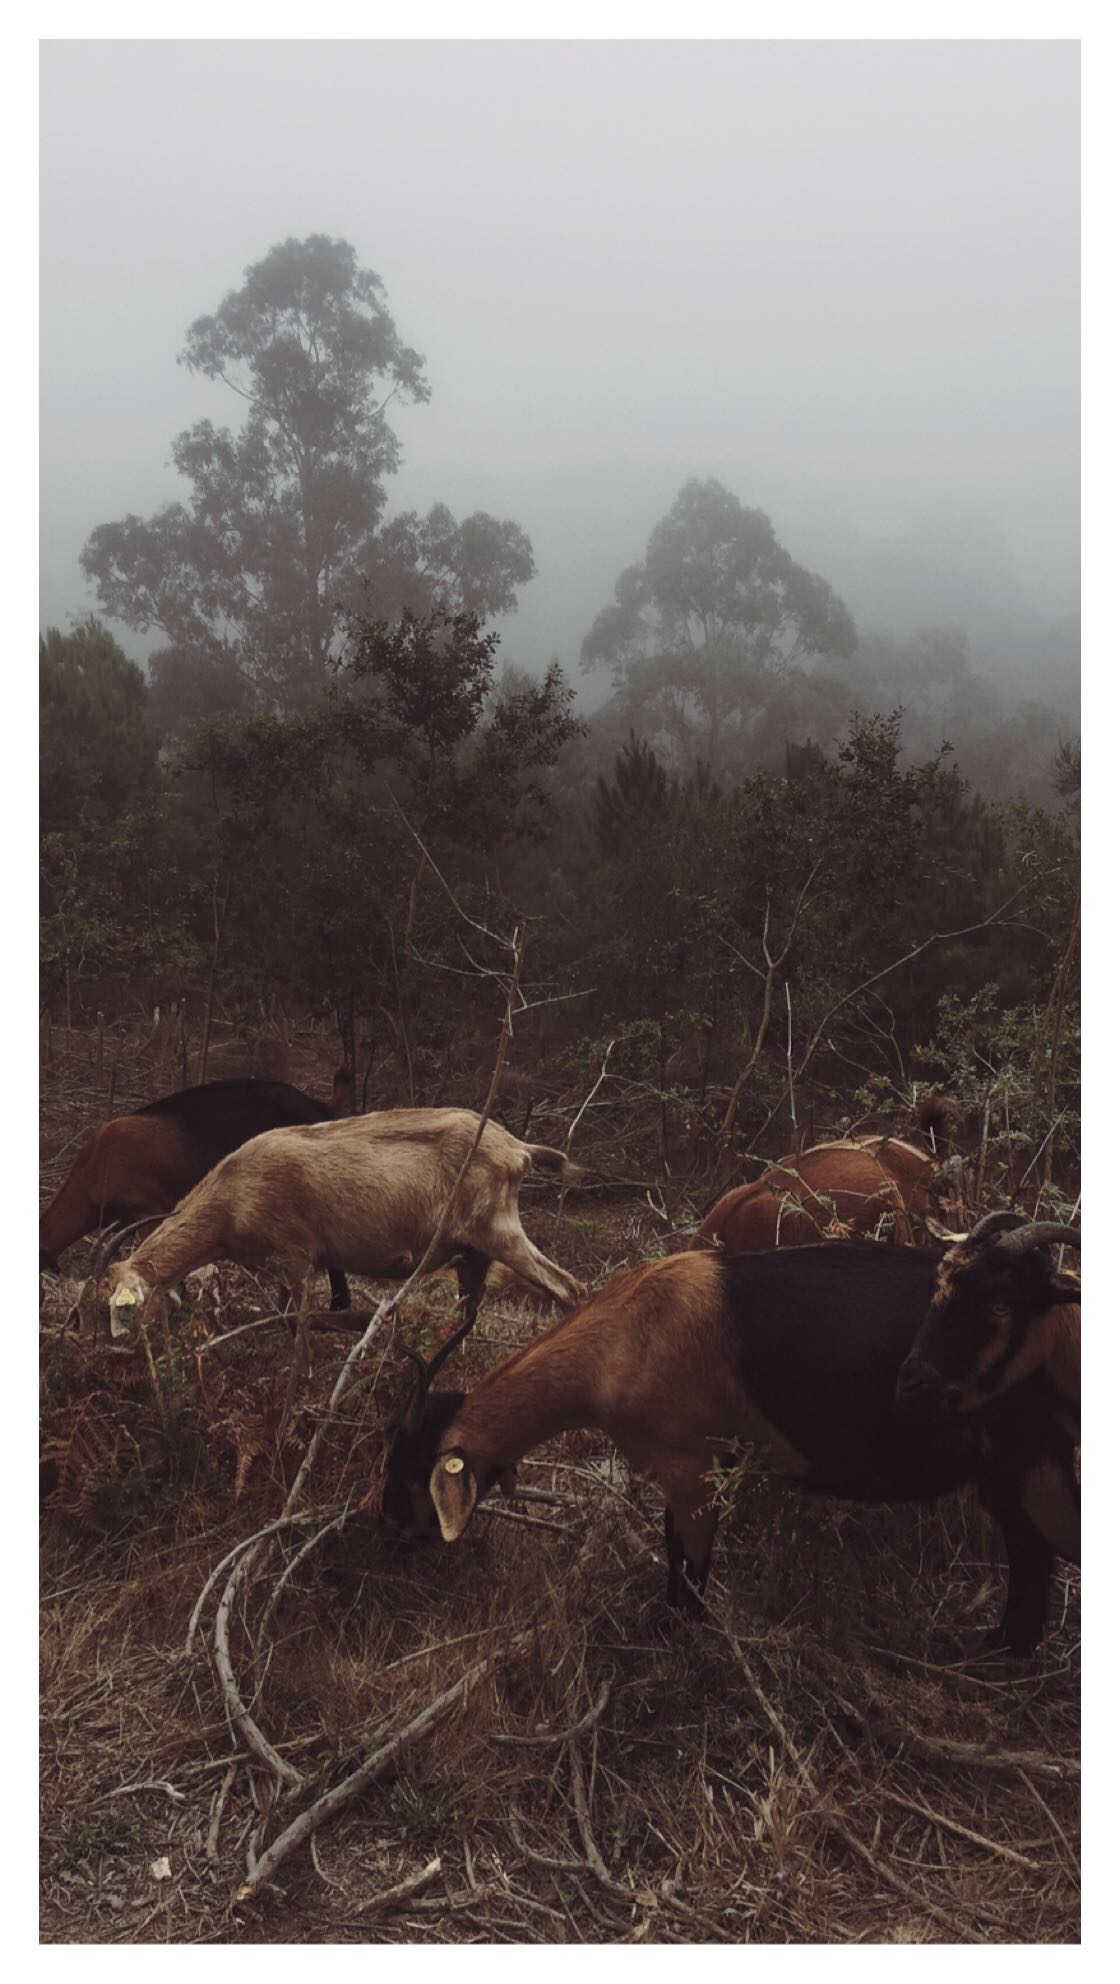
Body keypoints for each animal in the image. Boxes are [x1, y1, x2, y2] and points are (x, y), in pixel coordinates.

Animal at [104, 1109, 586, 1336]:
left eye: (124, 1307)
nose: (117, 1346)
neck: (233, 1194)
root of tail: (517, 1149)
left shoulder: (296, 1258)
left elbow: (295, 1322)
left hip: (498, 1231)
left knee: (569, 1288)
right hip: (474, 1252)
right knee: (468, 1315)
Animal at [383, 1240, 1078, 1655]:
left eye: (417, 1474)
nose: (391, 1529)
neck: (624, 1337)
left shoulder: (691, 1463)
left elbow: (690, 1567)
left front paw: (676, 1640)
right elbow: (672, 1550)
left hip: (1036, 1461)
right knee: (1030, 1556)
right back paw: (998, 1650)